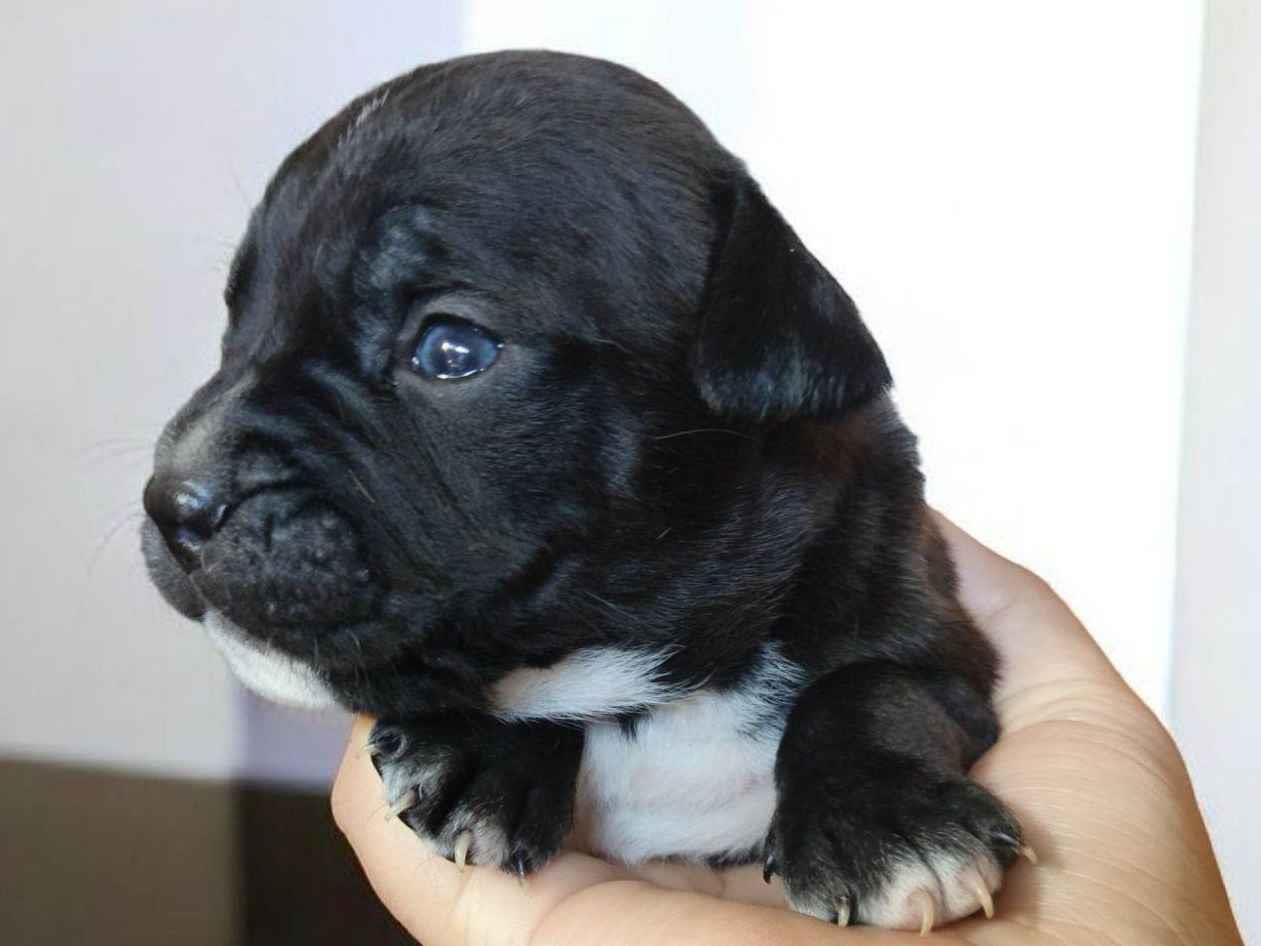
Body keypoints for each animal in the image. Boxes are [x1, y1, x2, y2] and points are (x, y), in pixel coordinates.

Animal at [142, 50, 1024, 931]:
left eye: (452, 349)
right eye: (236, 325)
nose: (173, 500)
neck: (652, 680)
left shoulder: (930, 619)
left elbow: (875, 685)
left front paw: (885, 824)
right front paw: (480, 754)